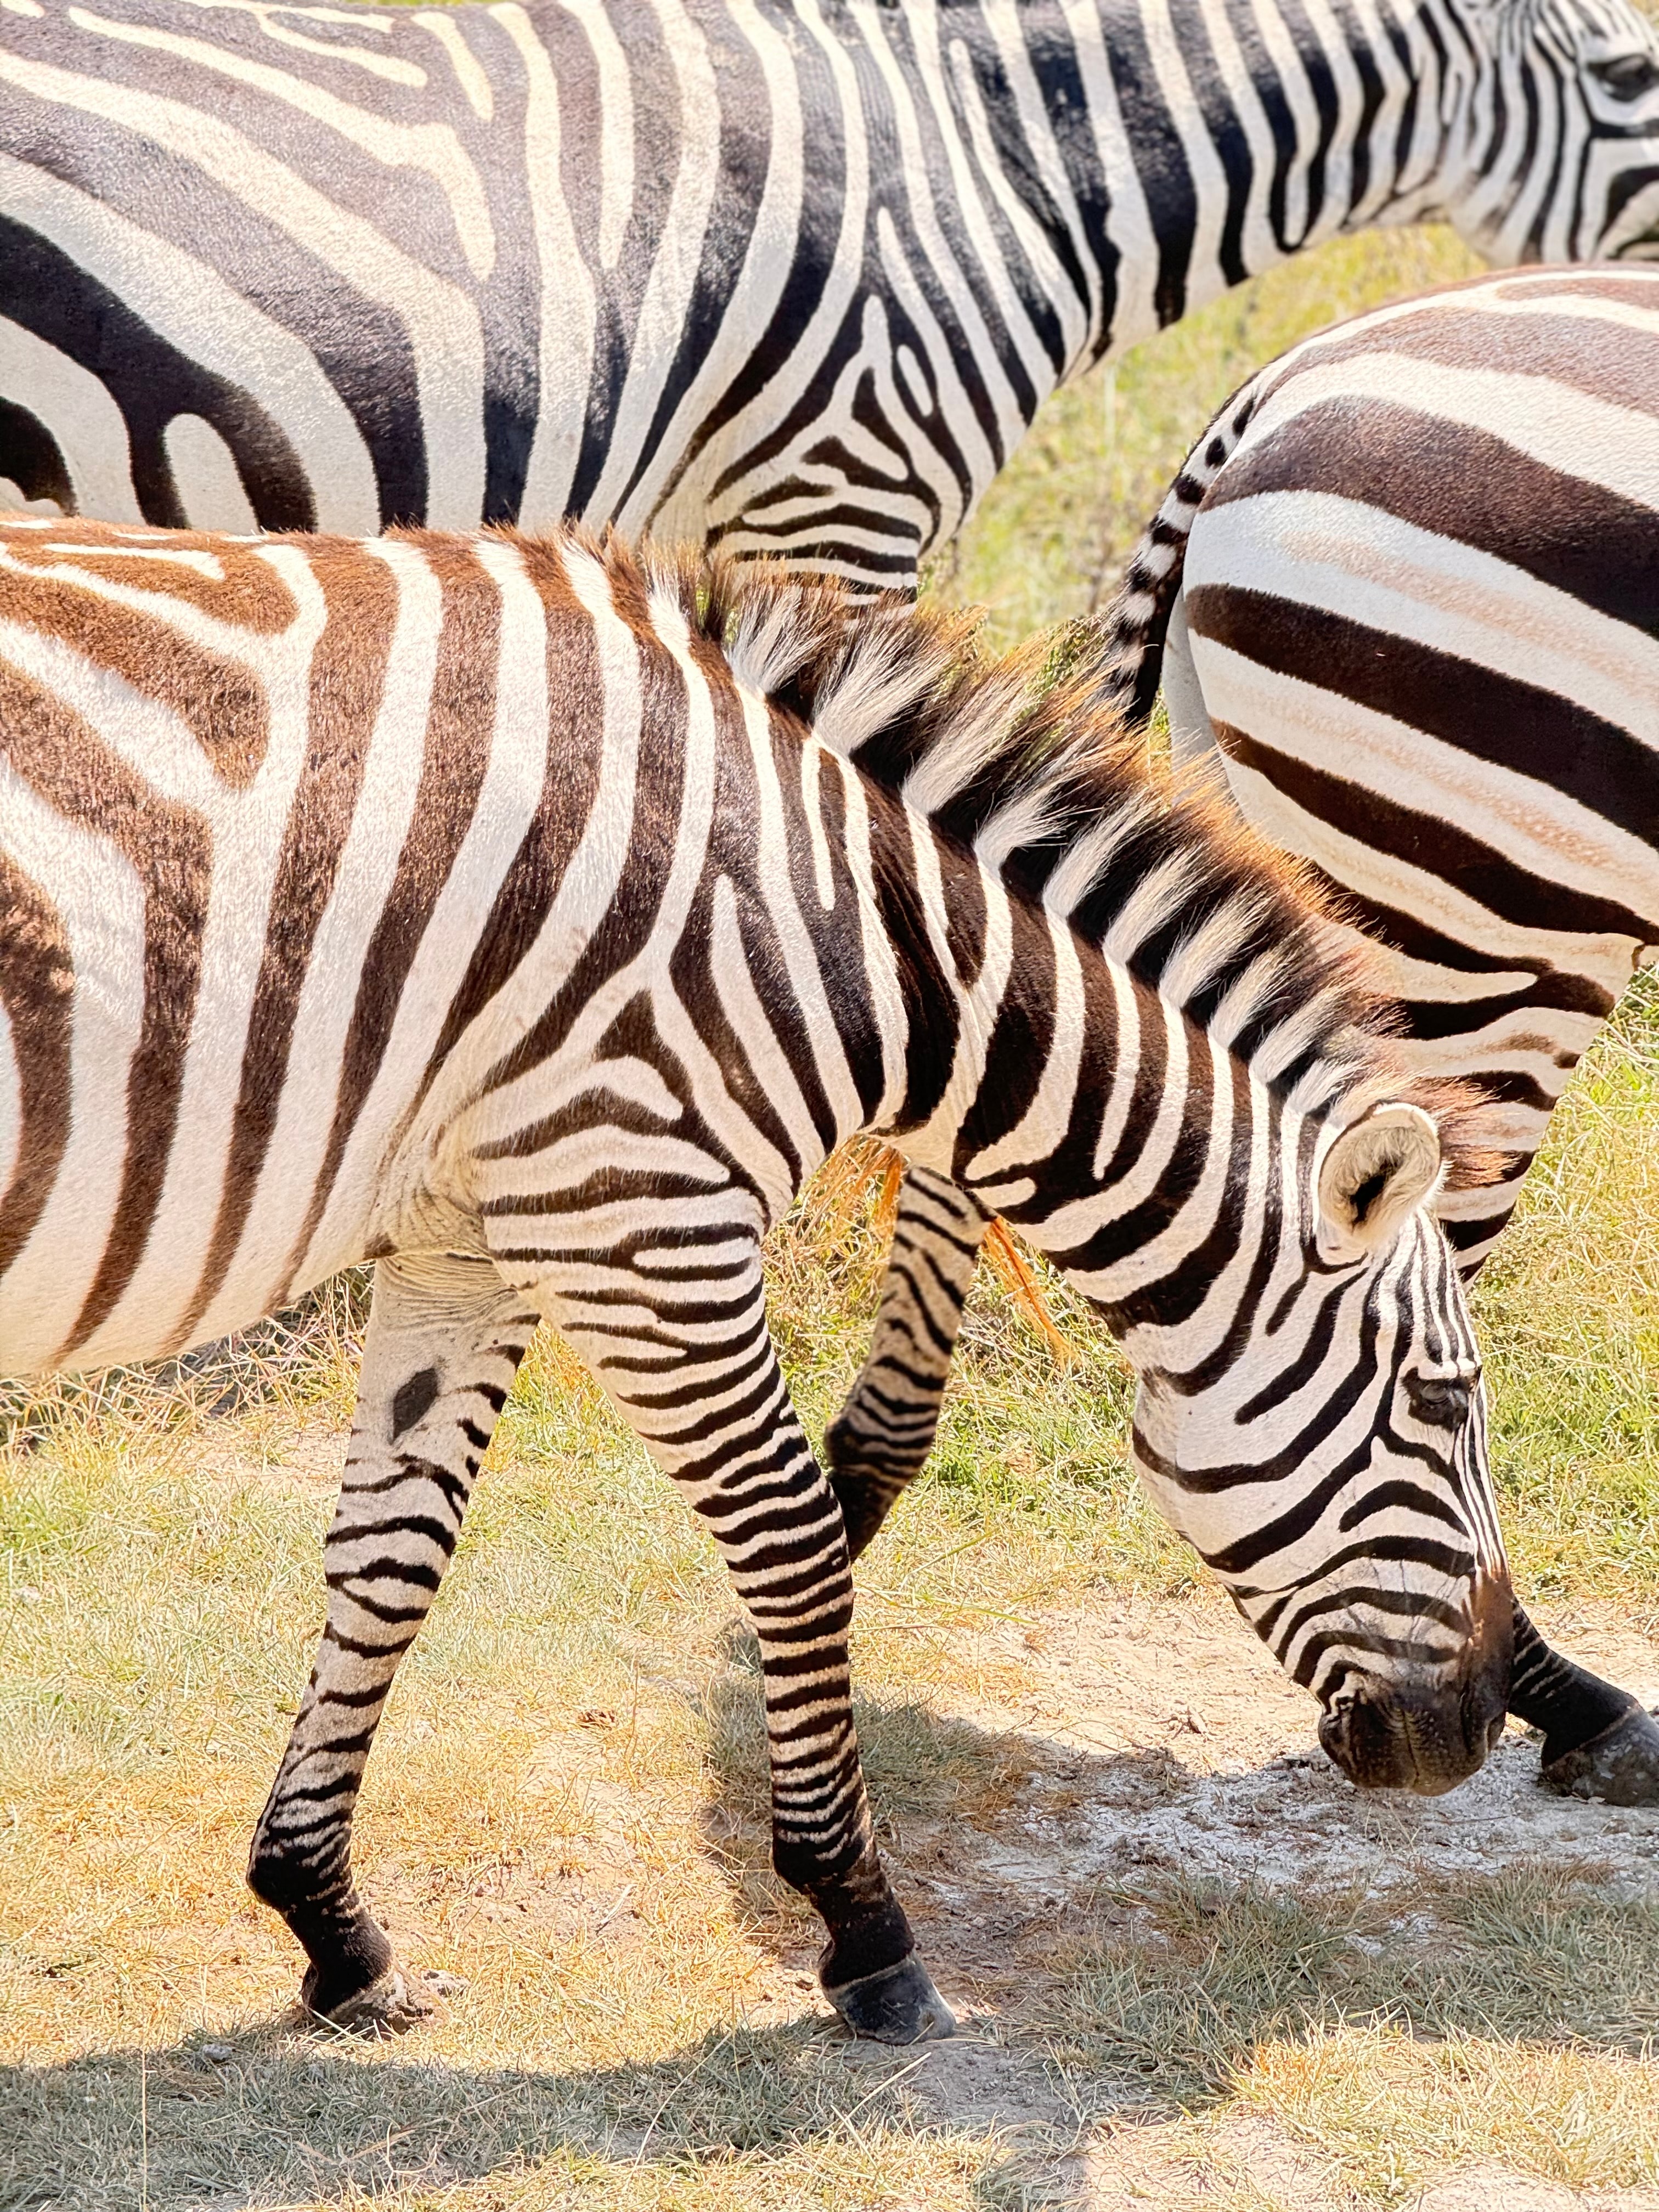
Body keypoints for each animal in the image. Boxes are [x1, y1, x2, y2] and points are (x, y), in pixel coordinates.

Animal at [0, 506, 1522, 2035]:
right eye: (1444, 1405)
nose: (1473, 1729)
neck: (853, 939)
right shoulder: (635, 1208)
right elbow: (795, 1545)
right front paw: (862, 1924)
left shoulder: (466, 1239)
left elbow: (392, 1558)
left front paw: (329, 1921)